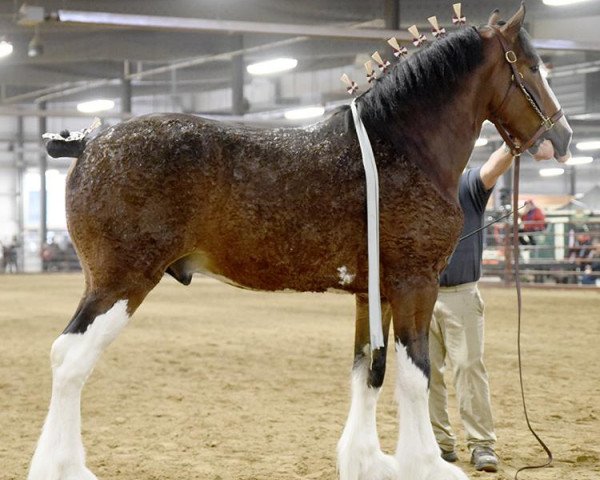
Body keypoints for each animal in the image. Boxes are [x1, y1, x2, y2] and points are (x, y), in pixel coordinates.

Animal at [29, 4, 572, 480]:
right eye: (531, 66)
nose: (563, 138)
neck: (401, 147)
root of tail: (89, 142)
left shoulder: (373, 293)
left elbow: (370, 370)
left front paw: (366, 462)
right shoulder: (415, 285)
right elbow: (415, 373)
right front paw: (426, 466)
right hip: (122, 283)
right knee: (69, 359)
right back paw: (65, 468)